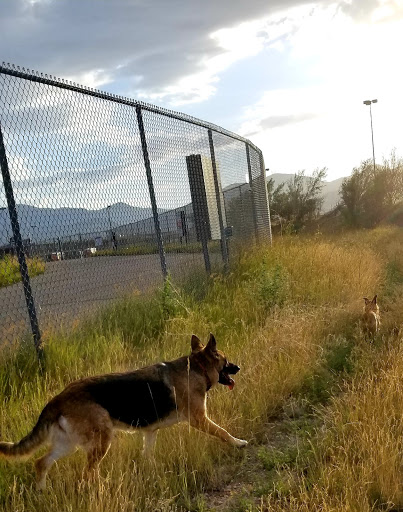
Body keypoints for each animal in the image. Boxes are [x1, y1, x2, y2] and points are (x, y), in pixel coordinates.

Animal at [0, 334, 246, 490]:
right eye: (226, 361)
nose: (238, 367)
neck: (197, 367)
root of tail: (57, 398)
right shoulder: (199, 419)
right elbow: (223, 432)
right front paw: (239, 443)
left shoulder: (150, 432)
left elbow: (147, 455)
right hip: (101, 440)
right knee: (87, 473)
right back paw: (99, 487)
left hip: (68, 443)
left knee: (41, 462)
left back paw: (42, 491)